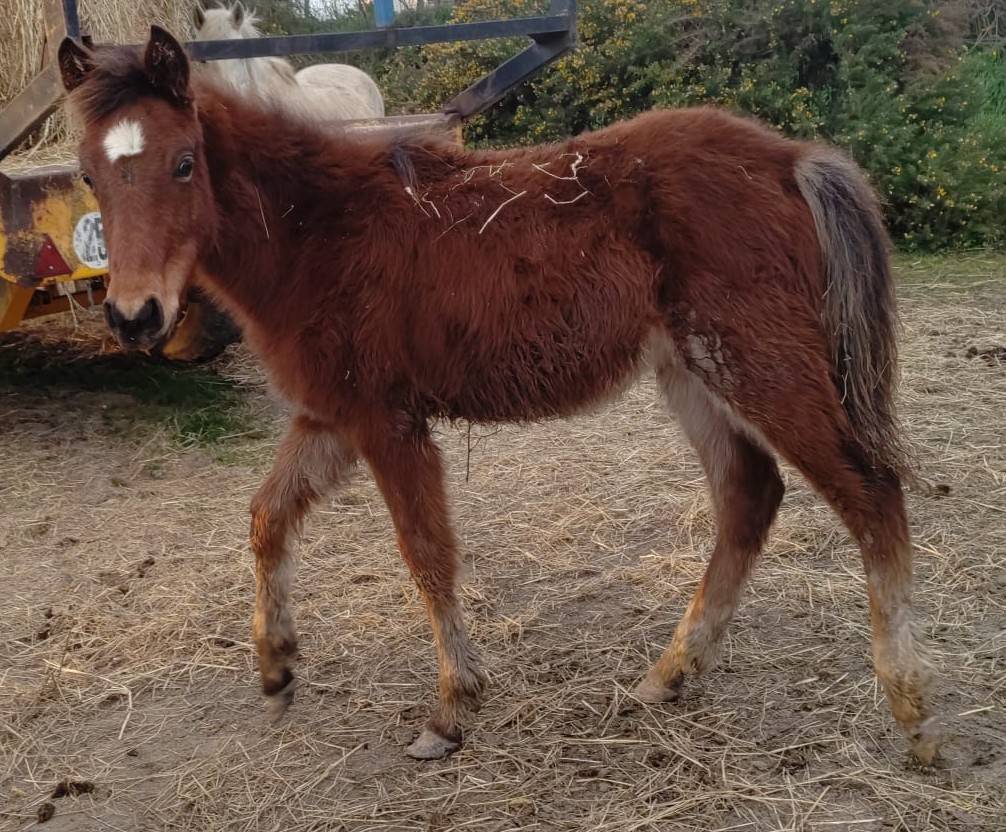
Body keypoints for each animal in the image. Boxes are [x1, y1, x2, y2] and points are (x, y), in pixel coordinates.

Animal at [57, 27, 939, 763]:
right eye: (89, 175)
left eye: (183, 163)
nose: (135, 316)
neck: (318, 232)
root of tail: (793, 158)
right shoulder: (331, 417)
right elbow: (267, 517)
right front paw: (276, 668)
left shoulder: (388, 423)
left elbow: (426, 554)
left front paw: (451, 711)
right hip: (692, 373)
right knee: (749, 496)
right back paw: (668, 676)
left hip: (760, 365)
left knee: (872, 495)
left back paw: (911, 714)